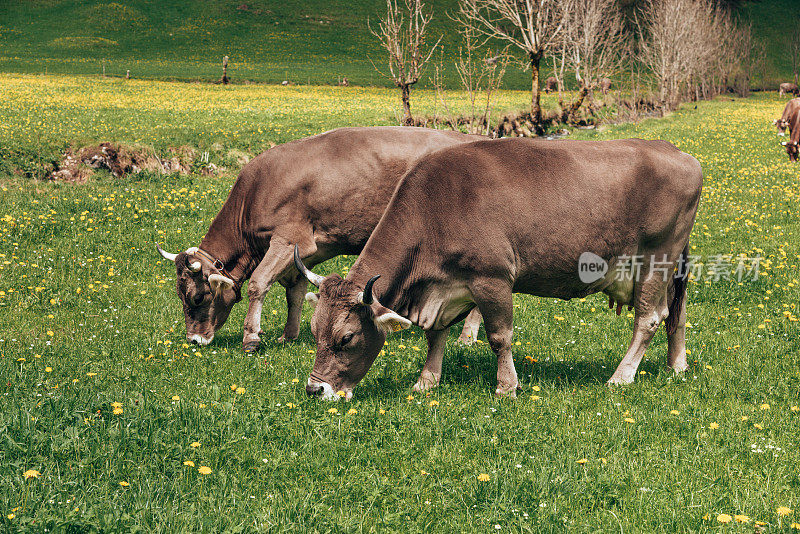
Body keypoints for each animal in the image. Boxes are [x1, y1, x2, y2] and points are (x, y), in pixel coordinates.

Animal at [155, 126, 482, 352]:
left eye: (197, 297)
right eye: (179, 295)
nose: (194, 340)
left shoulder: (287, 240)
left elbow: (259, 283)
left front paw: (251, 338)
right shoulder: (306, 251)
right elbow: (295, 291)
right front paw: (288, 335)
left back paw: (467, 336)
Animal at [296, 136, 704, 400]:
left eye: (346, 338)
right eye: (314, 330)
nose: (315, 389)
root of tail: (676, 150)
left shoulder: (491, 279)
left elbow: (499, 337)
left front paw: (507, 386)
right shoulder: (445, 287)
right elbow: (436, 335)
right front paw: (427, 381)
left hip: (655, 260)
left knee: (650, 318)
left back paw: (621, 376)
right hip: (673, 266)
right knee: (678, 313)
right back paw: (677, 366)